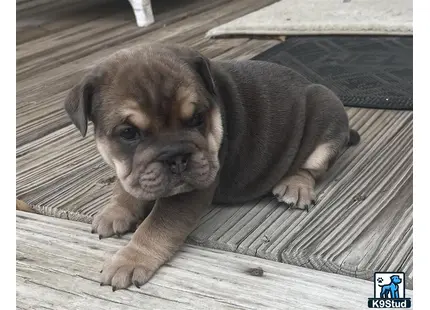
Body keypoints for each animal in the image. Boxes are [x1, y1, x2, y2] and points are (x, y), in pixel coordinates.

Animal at [63, 43, 360, 290]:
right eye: (128, 133)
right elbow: (126, 187)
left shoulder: (189, 191)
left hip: (327, 112)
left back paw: (295, 185)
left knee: (311, 166)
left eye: (197, 118)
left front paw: (130, 259)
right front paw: (116, 211)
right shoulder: (130, 169)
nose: (176, 157)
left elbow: (157, 226)